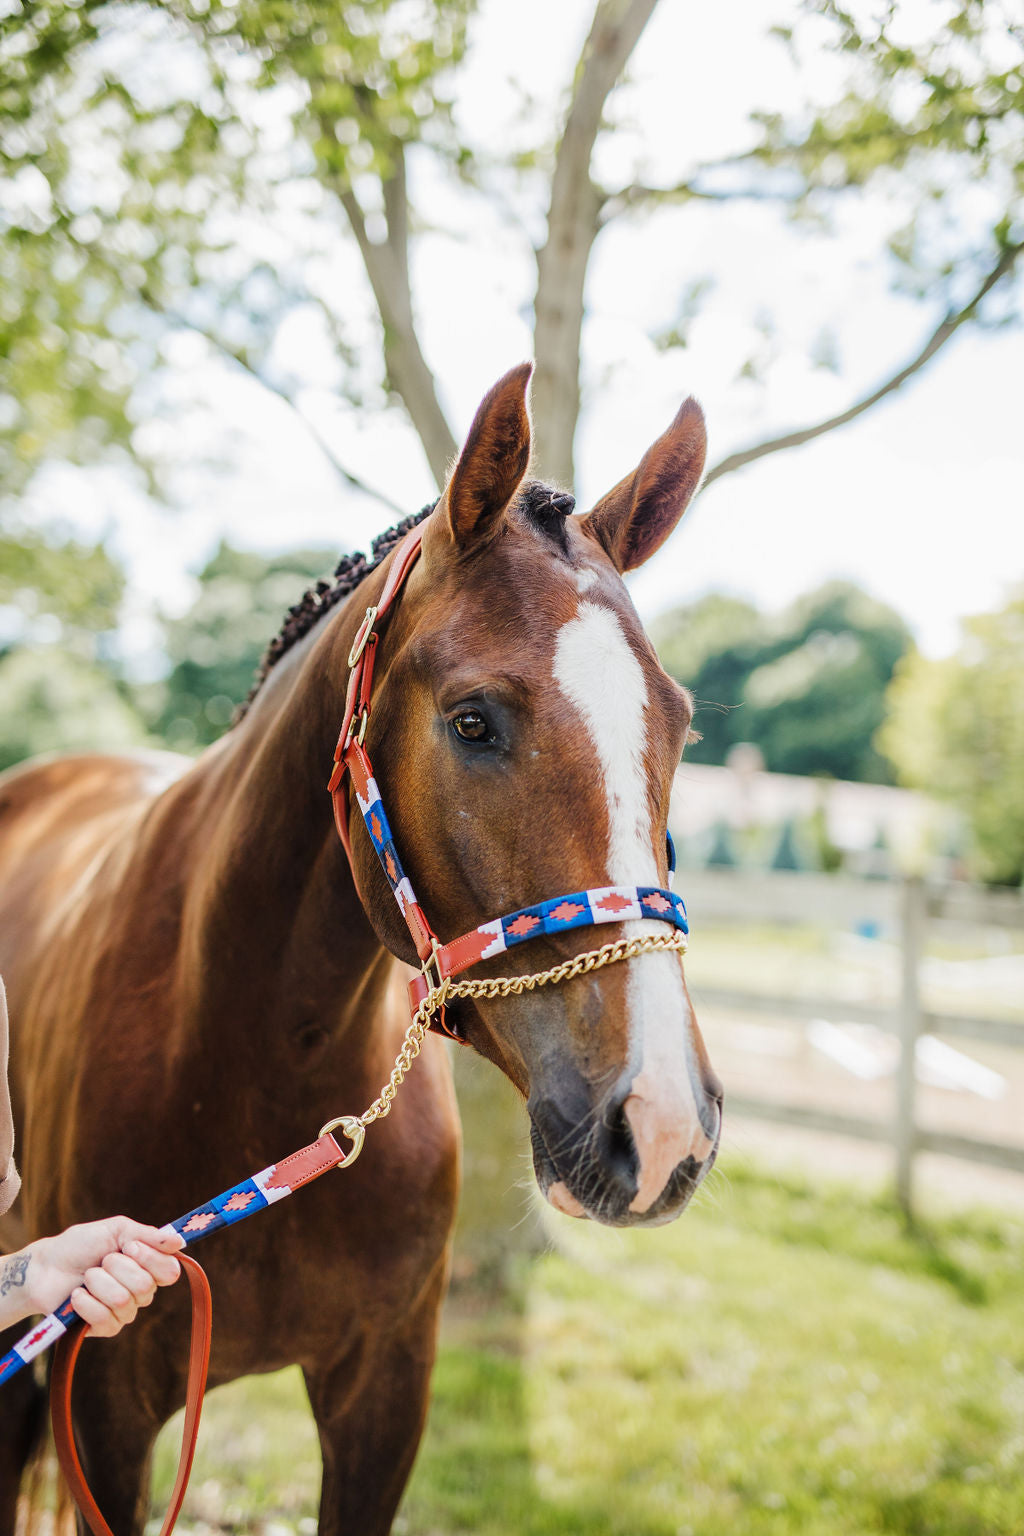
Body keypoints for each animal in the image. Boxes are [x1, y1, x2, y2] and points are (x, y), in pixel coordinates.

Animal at [0, 368, 721, 1536]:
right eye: (472, 722)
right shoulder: (103, 1406)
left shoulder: (385, 1395)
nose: (660, 1129)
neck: (257, 1061)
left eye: (680, 723)